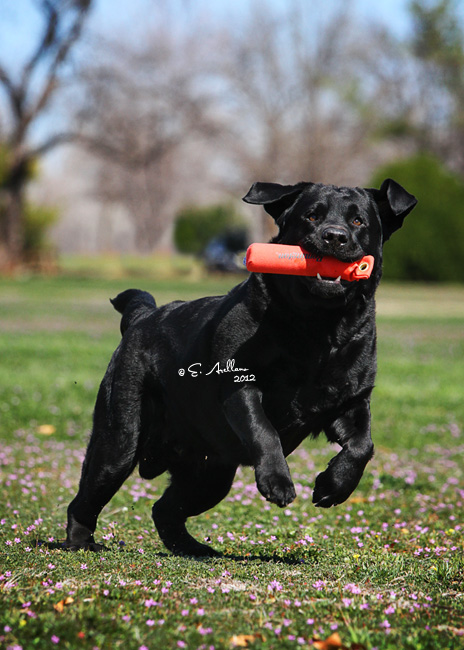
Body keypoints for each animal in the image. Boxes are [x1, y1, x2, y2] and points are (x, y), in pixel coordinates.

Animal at [65, 180, 416, 556]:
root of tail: (142, 316)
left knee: (165, 509)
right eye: (312, 215)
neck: (316, 328)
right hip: (119, 441)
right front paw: (278, 481)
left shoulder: (352, 400)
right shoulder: (240, 385)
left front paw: (332, 486)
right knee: (86, 497)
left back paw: (194, 549)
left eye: (358, 221)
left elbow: (363, 446)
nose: (334, 236)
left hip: (211, 473)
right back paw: (81, 542)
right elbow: (264, 430)